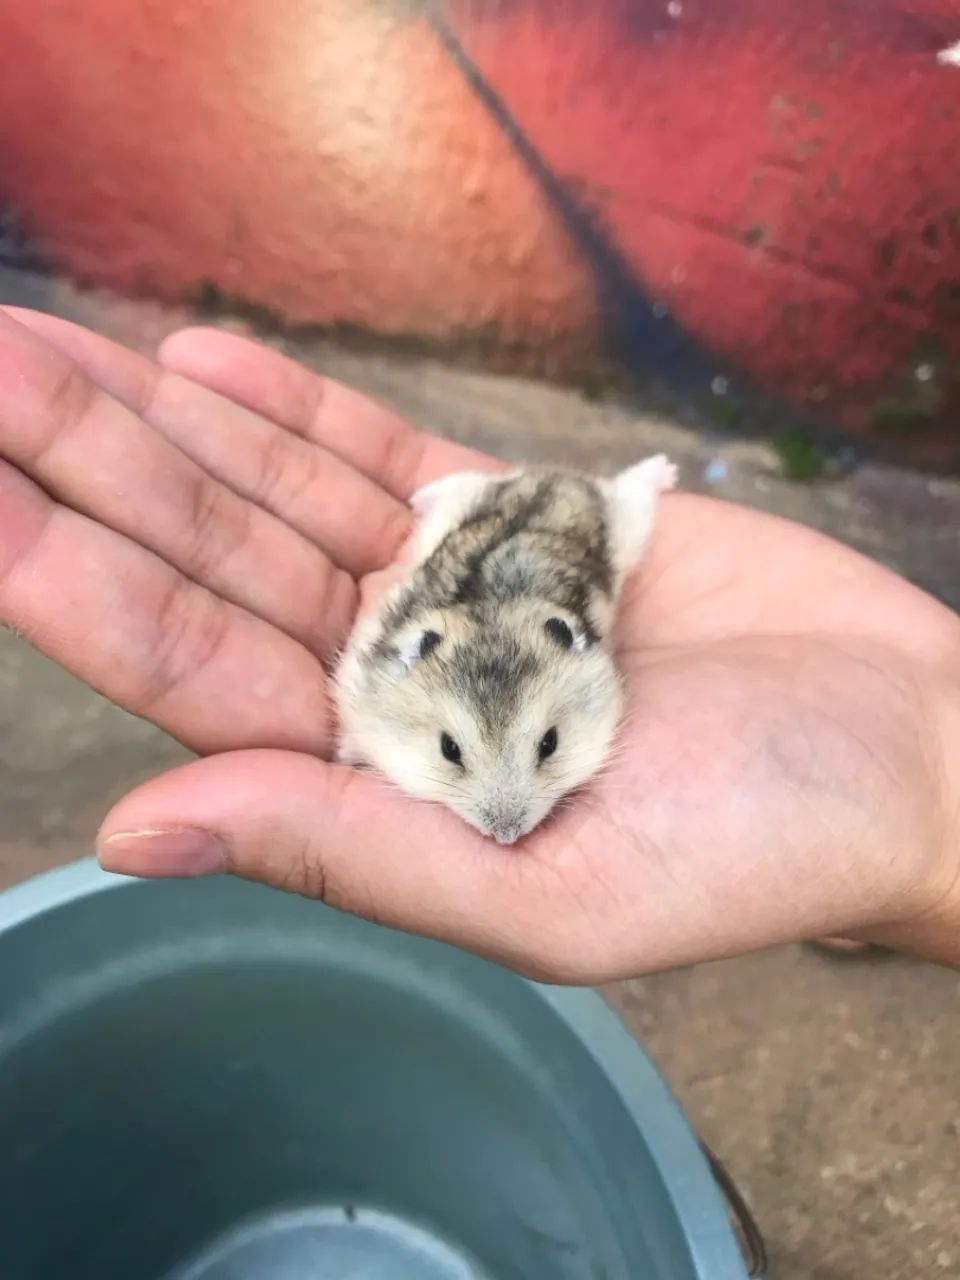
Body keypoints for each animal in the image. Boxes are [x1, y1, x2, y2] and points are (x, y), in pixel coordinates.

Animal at [334, 455, 677, 844]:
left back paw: (664, 469)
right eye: (449, 749)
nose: (506, 835)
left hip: (628, 521)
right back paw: (417, 498)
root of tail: (559, 477)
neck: (495, 613)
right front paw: (344, 752)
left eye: (550, 743)